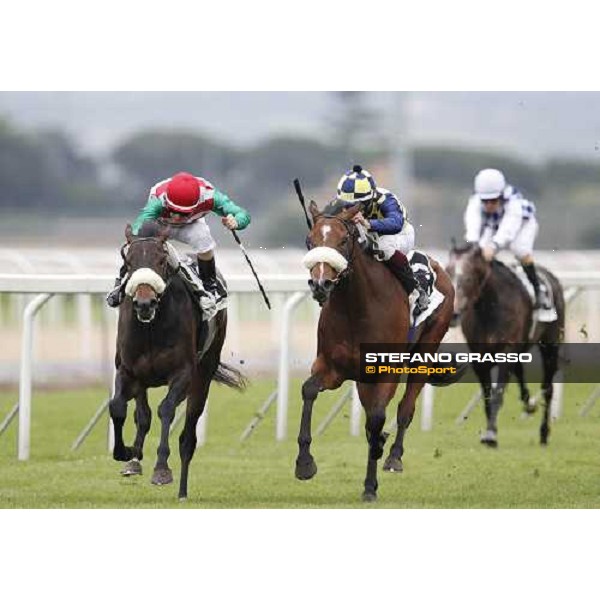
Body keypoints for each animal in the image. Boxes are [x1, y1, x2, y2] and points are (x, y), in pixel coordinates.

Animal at [109, 223, 245, 500]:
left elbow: (167, 409)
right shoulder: (127, 370)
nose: (145, 302)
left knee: (188, 436)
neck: (151, 328)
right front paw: (125, 453)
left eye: (161, 261)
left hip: (204, 372)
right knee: (143, 414)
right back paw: (135, 460)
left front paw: (161, 469)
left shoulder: (182, 373)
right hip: (143, 380)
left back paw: (182, 490)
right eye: (128, 262)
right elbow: (117, 406)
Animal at [298, 202, 458, 502]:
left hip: (425, 352)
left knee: (405, 408)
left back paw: (393, 456)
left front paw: (370, 486)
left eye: (343, 240)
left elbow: (376, 419)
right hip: (364, 379)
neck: (356, 307)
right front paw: (304, 463)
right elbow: (309, 390)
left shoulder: (386, 372)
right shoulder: (331, 368)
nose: (321, 284)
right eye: (310, 241)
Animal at [448, 243, 564, 446]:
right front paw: (489, 430)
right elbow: (488, 395)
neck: (489, 308)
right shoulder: (480, 359)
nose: (453, 313)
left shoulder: (506, 351)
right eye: (448, 271)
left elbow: (498, 393)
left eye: (468, 277)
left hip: (550, 344)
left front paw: (491, 434)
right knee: (520, 372)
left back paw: (544, 433)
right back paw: (529, 405)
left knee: (548, 388)